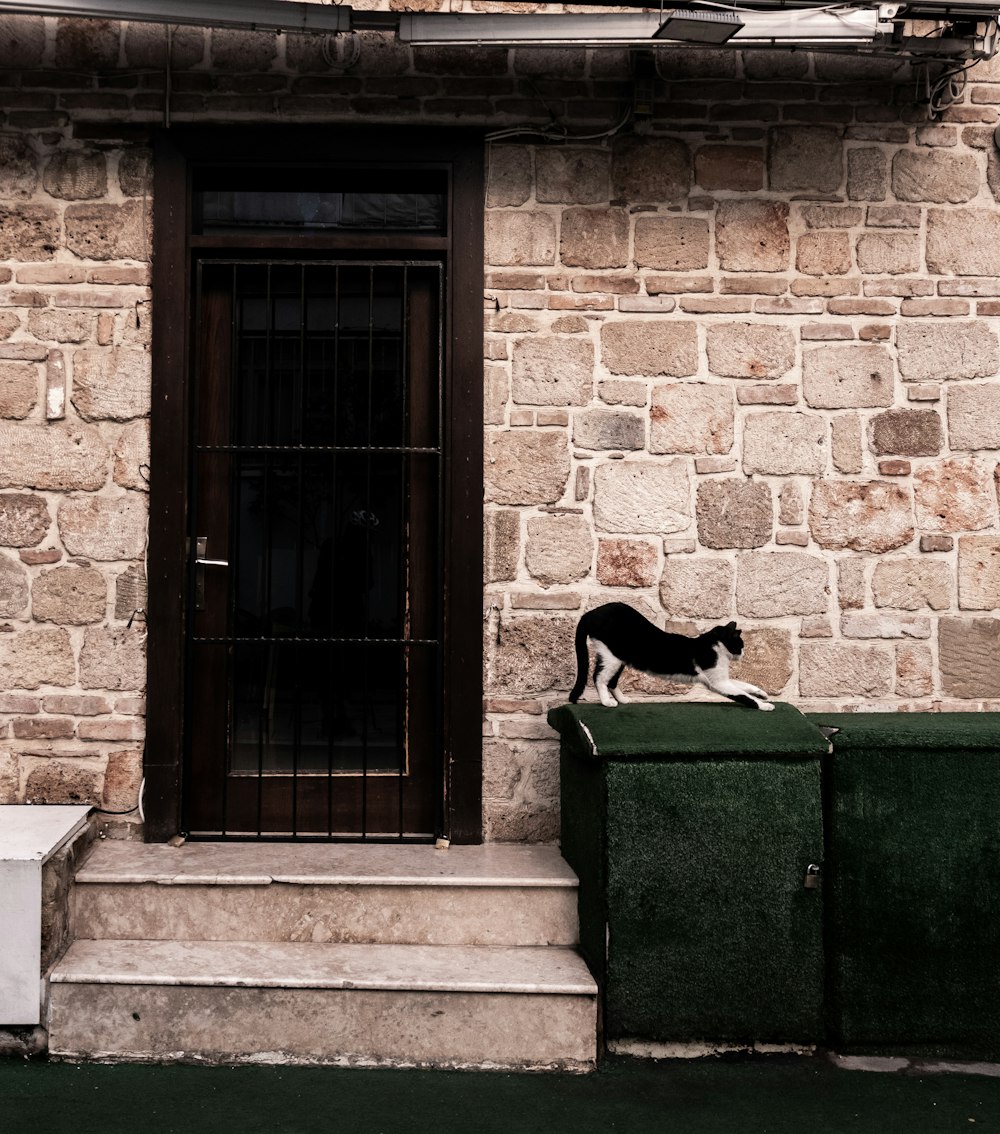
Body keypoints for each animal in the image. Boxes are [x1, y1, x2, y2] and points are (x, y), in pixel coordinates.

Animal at [569, 603, 770, 707]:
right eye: (740, 644)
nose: (743, 653)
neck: (714, 647)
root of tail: (590, 613)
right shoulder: (718, 682)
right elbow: (742, 695)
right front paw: (765, 706)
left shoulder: (723, 679)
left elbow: (743, 685)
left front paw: (762, 694)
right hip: (611, 656)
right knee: (599, 677)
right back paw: (607, 702)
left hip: (620, 658)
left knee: (611, 681)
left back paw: (624, 700)